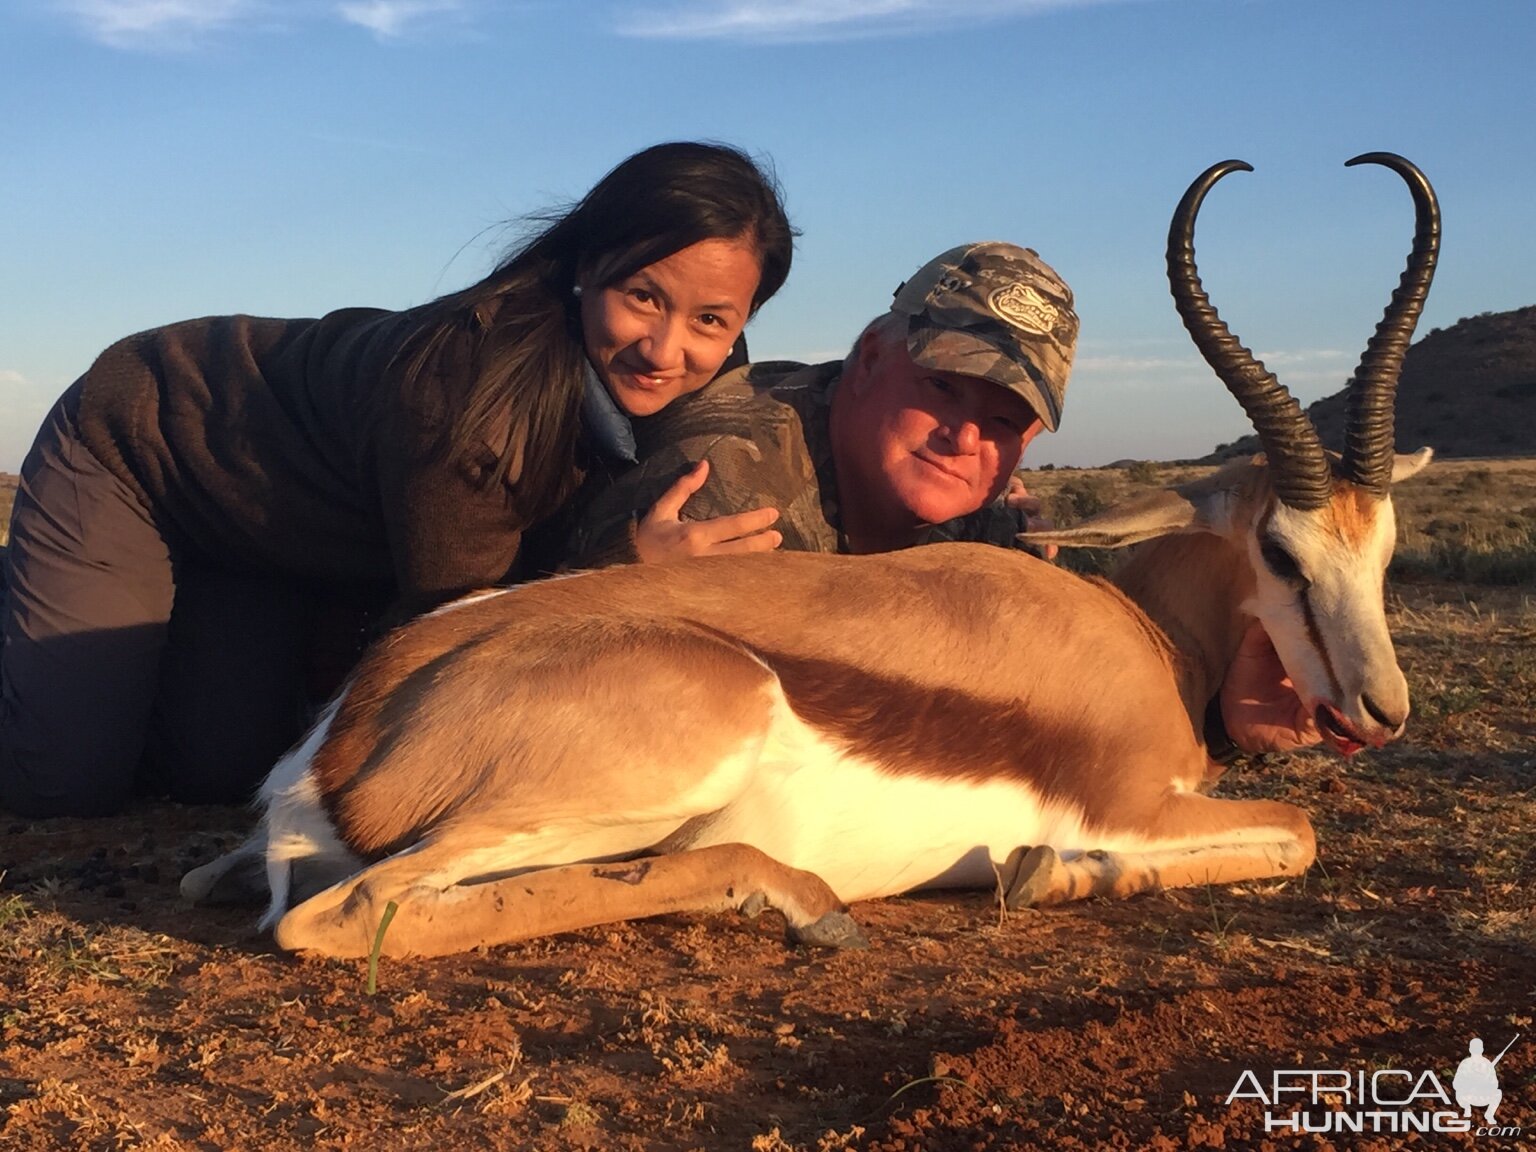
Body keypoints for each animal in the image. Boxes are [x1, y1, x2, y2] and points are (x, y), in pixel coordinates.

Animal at [185, 155, 1431, 964]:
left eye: (1385, 548)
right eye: (1279, 548)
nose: (1382, 713)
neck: (1143, 638)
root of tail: (341, 741)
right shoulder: (1132, 805)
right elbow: (1297, 836)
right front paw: (1051, 874)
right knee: (347, 917)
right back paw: (802, 899)